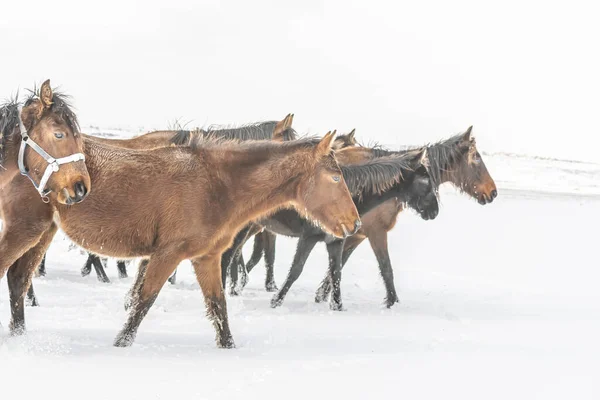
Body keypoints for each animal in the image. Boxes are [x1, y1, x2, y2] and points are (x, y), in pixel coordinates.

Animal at [2, 129, 358, 346]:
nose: (353, 224)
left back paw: (19, 335)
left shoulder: (206, 259)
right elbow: (143, 302)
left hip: (42, 232)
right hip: (26, 228)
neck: (217, 186)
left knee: (18, 279)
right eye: (335, 177)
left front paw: (229, 348)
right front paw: (120, 344)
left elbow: (218, 308)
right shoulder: (167, 255)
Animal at [223, 147, 438, 310]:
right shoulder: (309, 238)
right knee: (229, 254)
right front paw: (276, 301)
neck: (351, 194)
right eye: (425, 181)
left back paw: (234, 288)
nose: (434, 211)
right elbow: (296, 269)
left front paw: (337, 305)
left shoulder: (337, 241)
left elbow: (336, 272)